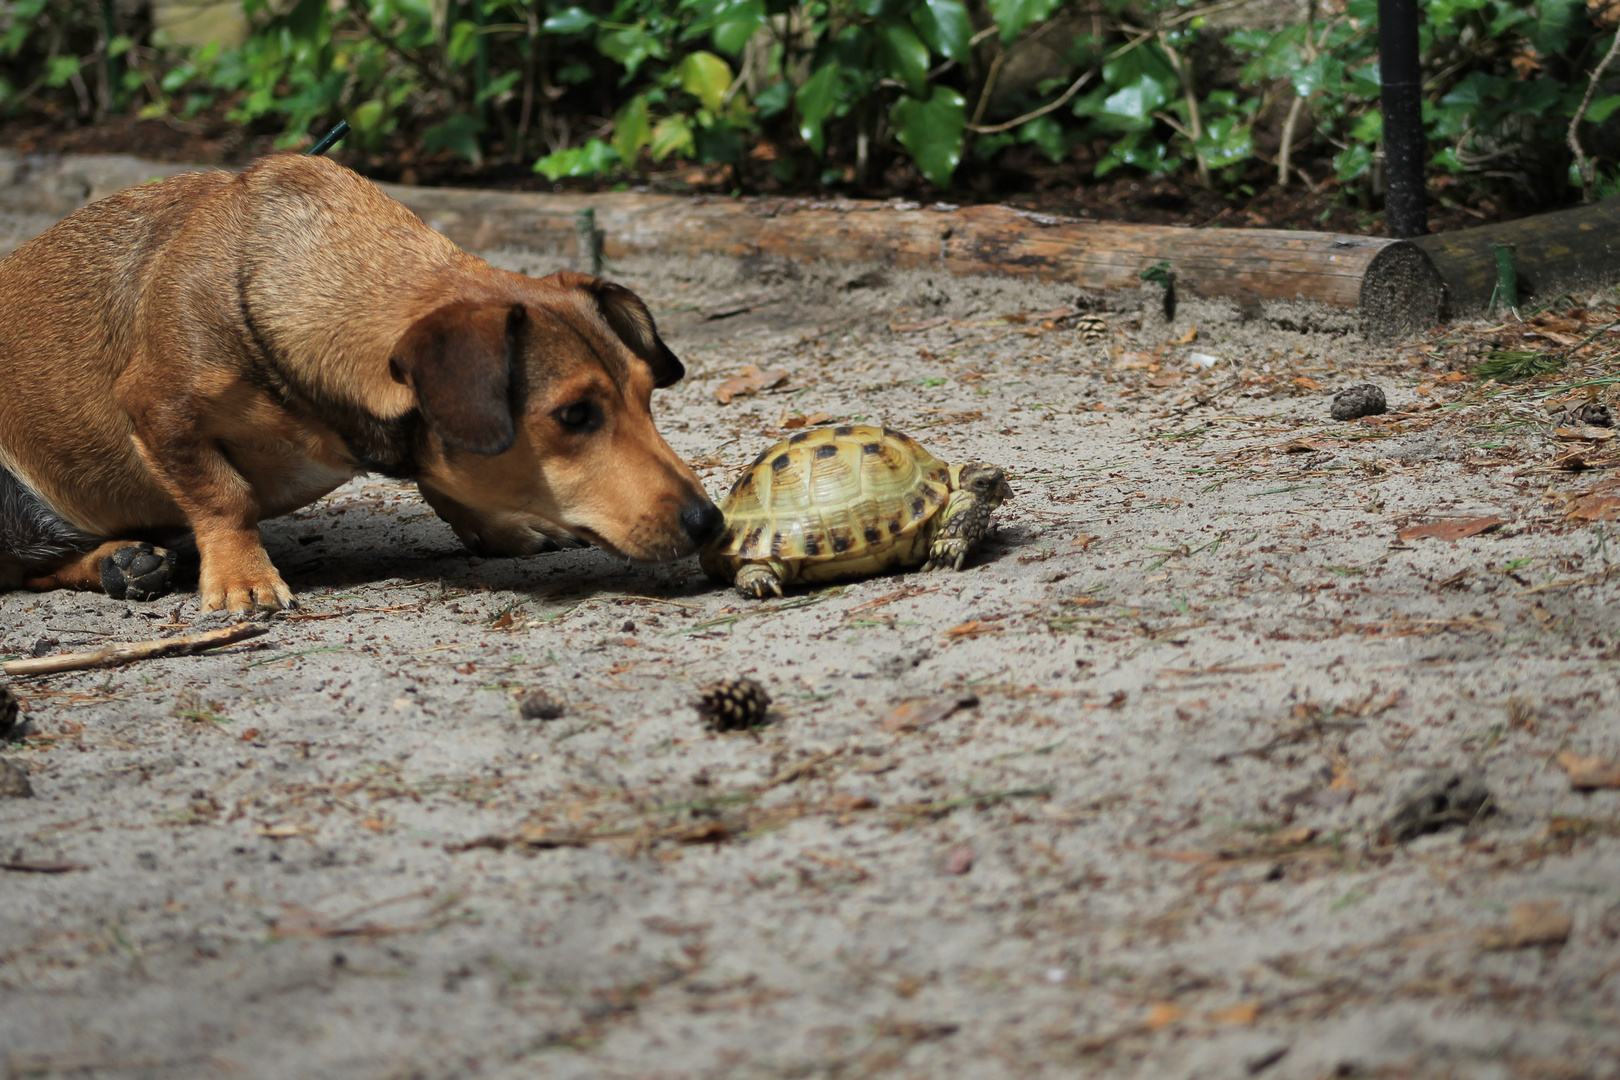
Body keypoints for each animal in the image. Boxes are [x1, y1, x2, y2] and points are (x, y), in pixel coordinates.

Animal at [0, 153, 722, 612]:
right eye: (574, 415)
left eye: (647, 396)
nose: (711, 521)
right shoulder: (159, 411)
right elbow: (225, 497)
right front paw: (241, 579)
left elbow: (443, 480)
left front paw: (500, 524)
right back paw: (123, 562)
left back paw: (121, 562)